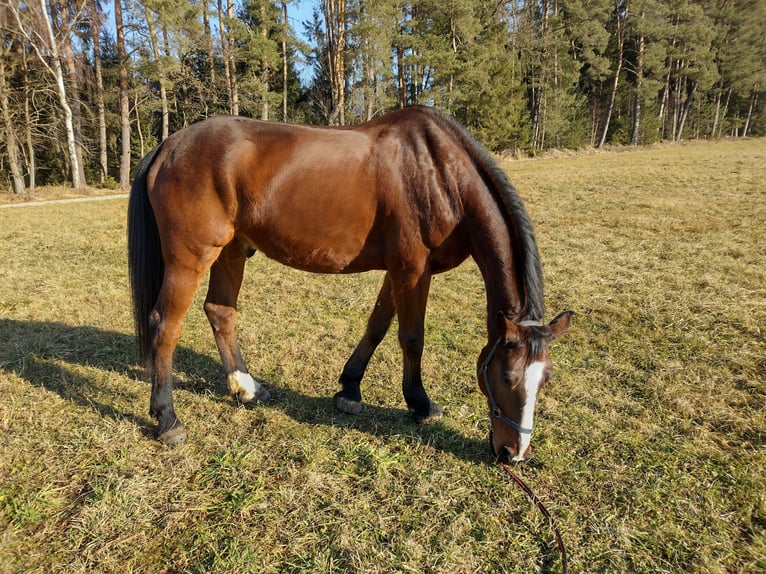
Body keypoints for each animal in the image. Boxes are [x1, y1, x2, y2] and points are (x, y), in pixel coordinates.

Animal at [127, 106, 572, 462]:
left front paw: (349, 389)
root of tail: (167, 146)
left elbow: (376, 327)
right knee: (165, 325)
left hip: (232, 249)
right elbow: (411, 337)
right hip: (191, 256)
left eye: (545, 378)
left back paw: (246, 389)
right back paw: (167, 418)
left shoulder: (401, 270)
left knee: (220, 312)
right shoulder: (412, 269)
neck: (438, 171)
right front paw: (420, 404)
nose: (513, 453)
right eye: (507, 377)